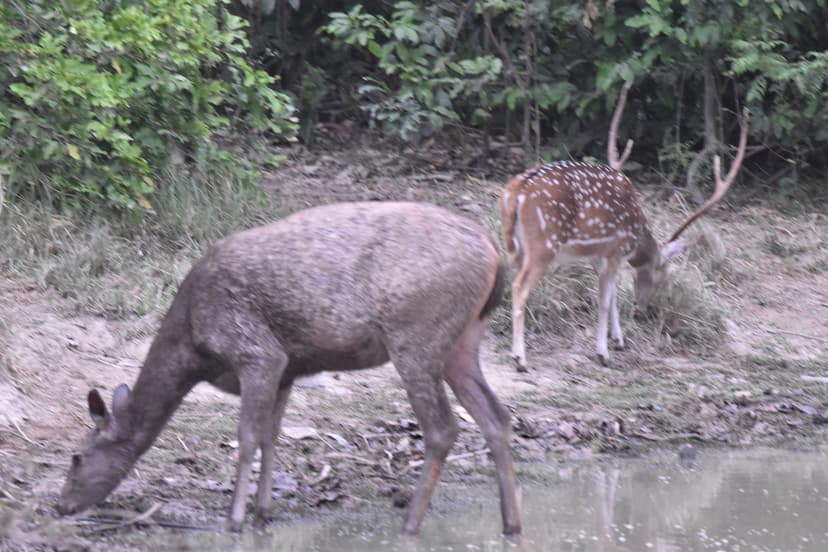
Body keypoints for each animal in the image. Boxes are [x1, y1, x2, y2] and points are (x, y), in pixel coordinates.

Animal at [56, 201, 522, 536]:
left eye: (77, 457)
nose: (61, 504)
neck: (193, 349)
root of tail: (495, 256)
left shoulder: (257, 353)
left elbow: (247, 438)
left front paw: (235, 519)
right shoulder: (288, 369)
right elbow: (270, 437)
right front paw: (263, 513)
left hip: (416, 333)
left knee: (442, 428)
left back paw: (410, 524)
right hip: (463, 341)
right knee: (497, 416)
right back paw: (511, 523)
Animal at [500, 82, 749, 370]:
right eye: (662, 275)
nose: (642, 311)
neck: (637, 236)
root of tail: (517, 191)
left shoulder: (599, 255)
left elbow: (612, 295)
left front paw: (618, 340)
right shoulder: (615, 249)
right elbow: (604, 300)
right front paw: (603, 353)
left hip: (515, 246)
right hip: (544, 244)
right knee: (519, 287)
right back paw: (520, 358)